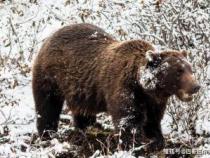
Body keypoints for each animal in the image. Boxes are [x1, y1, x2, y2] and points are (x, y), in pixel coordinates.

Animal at [31, 23, 200, 152]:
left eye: (190, 69)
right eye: (178, 71)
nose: (196, 86)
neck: (144, 86)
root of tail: (50, 37)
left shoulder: (154, 101)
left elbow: (153, 120)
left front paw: (156, 140)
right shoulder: (125, 89)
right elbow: (128, 119)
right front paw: (134, 145)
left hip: (81, 89)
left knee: (83, 111)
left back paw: (87, 129)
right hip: (50, 77)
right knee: (47, 107)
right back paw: (48, 134)